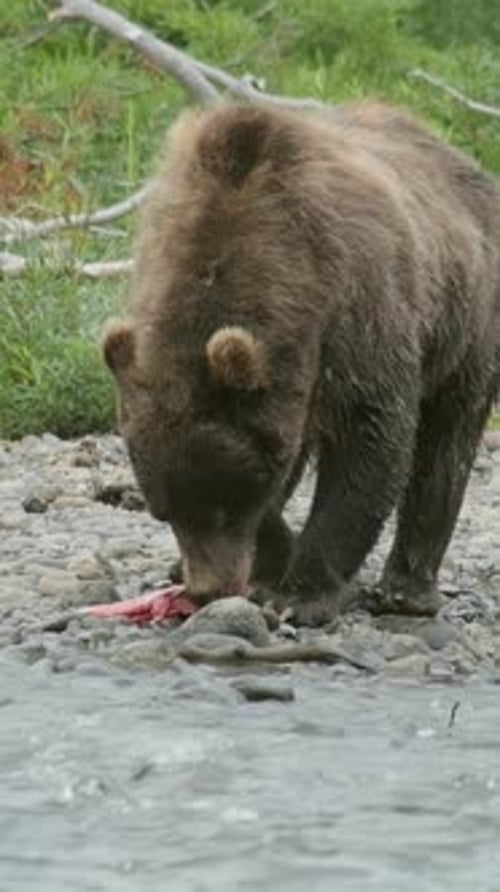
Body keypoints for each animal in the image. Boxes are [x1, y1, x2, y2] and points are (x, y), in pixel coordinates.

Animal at [103, 100, 500, 626]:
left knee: (447, 442)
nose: (209, 590)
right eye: (163, 512)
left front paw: (298, 593)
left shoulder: (358, 310)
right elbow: (278, 464)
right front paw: (269, 557)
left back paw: (407, 590)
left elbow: (369, 440)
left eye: (225, 508)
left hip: (465, 320)